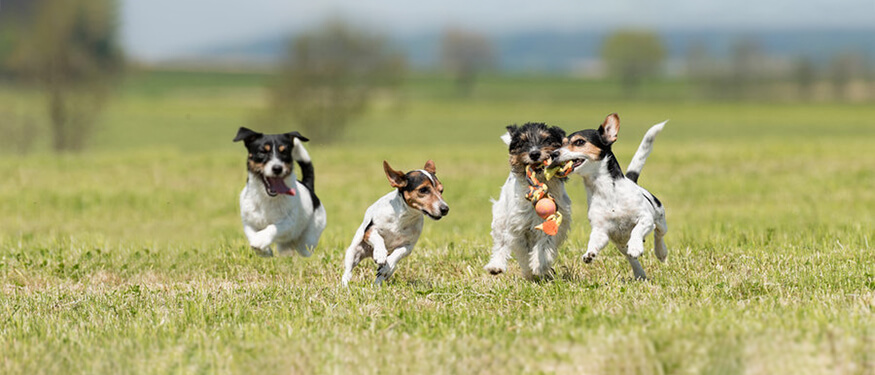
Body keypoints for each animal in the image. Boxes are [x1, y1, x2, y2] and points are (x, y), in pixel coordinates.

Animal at [234, 128, 326, 258]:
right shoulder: (248, 222)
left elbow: (272, 227)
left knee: (304, 248)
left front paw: (259, 240)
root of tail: (308, 187)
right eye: (262, 151)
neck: (267, 198)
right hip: (285, 246)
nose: (277, 168)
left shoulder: (288, 223)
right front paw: (264, 251)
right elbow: (251, 233)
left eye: (284, 152)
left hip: (309, 237)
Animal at [482, 122, 572, 280]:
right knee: (500, 243)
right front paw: (530, 271)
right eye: (523, 142)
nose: (534, 154)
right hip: (500, 218)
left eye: (547, 139)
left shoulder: (555, 220)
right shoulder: (517, 227)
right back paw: (496, 266)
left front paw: (538, 264)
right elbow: (523, 251)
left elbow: (545, 242)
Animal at [556, 113, 672, 280]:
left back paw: (660, 252)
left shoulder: (645, 218)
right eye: (562, 143)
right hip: (620, 244)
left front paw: (636, 246)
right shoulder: (601, 231)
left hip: (660, 221)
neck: (605, 190)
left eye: (579, 142)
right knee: (631, 258)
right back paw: (639, 274)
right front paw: (589, 254)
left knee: (659, 235)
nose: (553, 153)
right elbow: (594, 242)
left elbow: (637, 230)